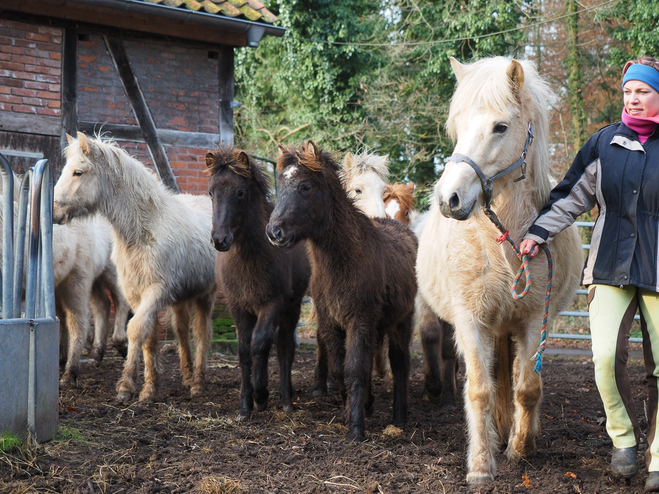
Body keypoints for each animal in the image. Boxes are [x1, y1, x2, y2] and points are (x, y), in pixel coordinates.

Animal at [52, 133, 217, 404]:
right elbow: (148, 338)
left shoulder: (157, 291)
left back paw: (198, 384)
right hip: (180, 299)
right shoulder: (136, 293)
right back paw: (186, 377)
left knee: (202, 332)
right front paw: (148, 388)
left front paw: (126, 386)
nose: (53, 211)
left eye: (78, 172)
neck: (145, 230)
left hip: (205, 295)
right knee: (182, 331)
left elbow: (136, 329)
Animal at [208, 149, 310, 418]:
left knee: (284, 348)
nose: (220, 240)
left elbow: (261, 343)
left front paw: (261, 394)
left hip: (292, 307)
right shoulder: (238, 306)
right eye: (211, 192)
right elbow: (245, 349)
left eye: (240, 192)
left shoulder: (273, 303)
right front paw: (246, 405)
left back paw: (286, 400)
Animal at [264, 142, 416, 440]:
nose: (274, 232)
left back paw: (400, 415)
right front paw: (360, 405)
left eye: (306, 187)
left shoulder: (360, 320)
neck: (346, 260)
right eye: (281, 183)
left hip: (402, 320)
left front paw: (356, 427)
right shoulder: (330, 322)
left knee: (400, 362)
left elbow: (354, 368)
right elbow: (339, 368)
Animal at [418, 55, 584, 482]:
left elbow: (528, 387)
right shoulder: (471, 321)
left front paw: (520, 447)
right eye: (457, 126)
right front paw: (480, 464)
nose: (449, 199)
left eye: (500, 127)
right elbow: (480, 390)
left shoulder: (533, 320)